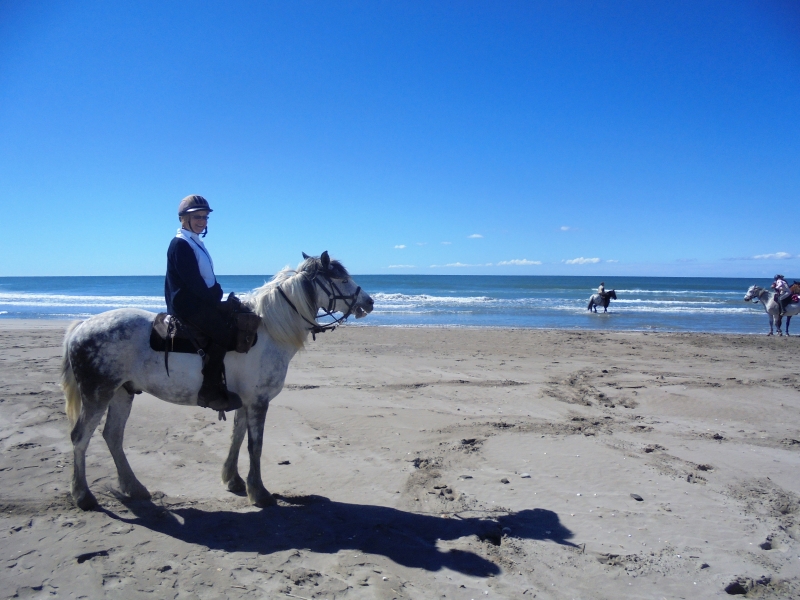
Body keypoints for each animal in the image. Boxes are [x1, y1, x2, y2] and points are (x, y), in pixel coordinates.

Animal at [61, 253, 374, 510]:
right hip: (98, 394)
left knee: (112, 436)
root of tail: (82, 326)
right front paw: (259, 493)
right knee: (80, 437)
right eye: (342, 279)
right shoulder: (258, 401)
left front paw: (233, 480)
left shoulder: (245, 401)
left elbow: (237, 437)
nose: (369, 302)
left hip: (122, 393)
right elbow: (255, 446)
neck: (269, 331)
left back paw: (134, 487)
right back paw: (83, 496)